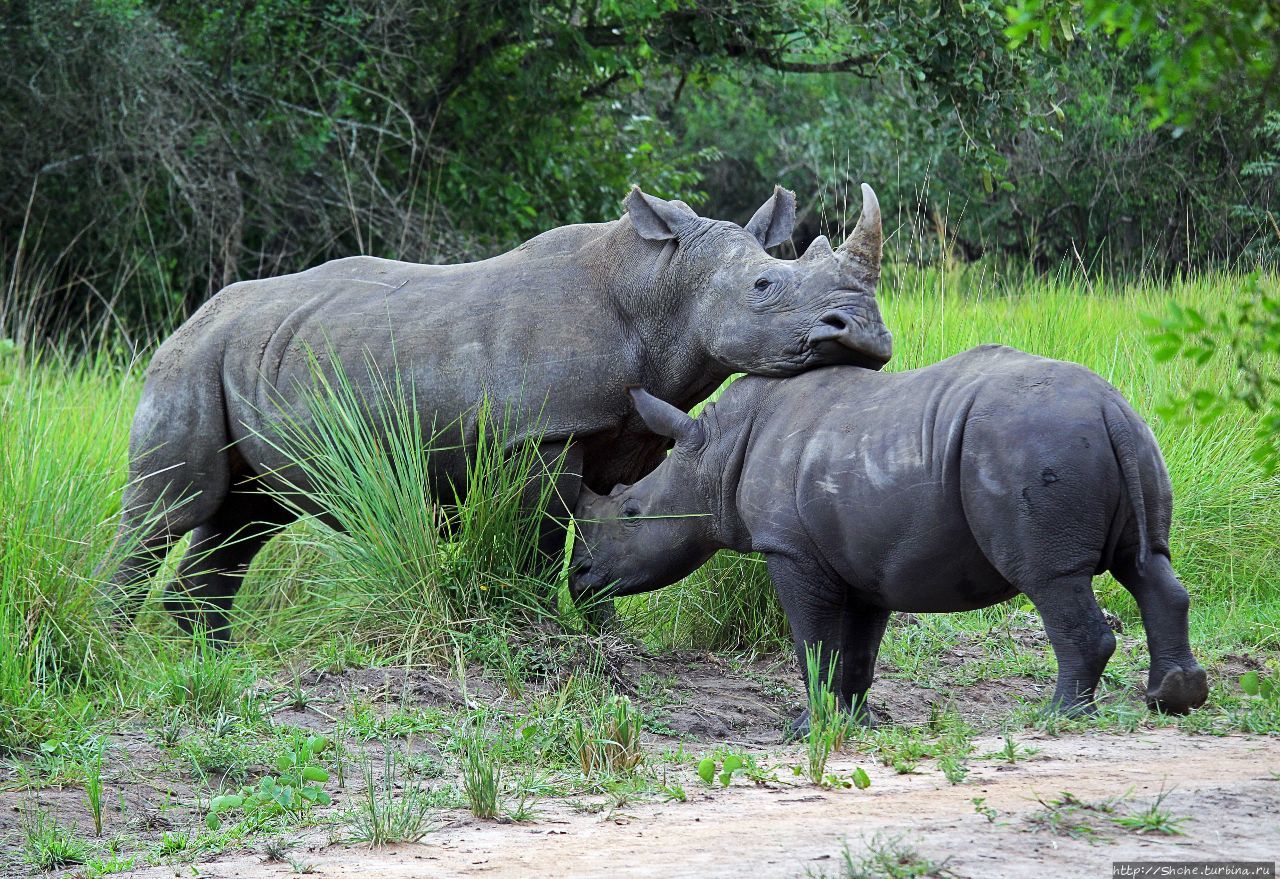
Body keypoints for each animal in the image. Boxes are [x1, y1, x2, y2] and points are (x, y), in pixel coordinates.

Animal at [104, 185, 896, 639]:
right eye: (765, 286)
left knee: (248, 515)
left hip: (255, 354)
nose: (863, 334)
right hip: (189, 360)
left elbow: (602, 526)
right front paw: (542, 627)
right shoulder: (541, 432)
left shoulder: (624, 430)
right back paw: (116, 647)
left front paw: (605, 631)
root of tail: (193, 318)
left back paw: (210, 655)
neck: (661, 287)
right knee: (170, 508)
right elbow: (539, 534)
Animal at [570, 345, 1208, 726]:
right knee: (1147, 563)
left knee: (1051, 577)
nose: (578, 578)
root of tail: (1109, 408)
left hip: (1032, 444)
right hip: (1130, 438)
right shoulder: (865, 556)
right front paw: (855, 722)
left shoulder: (791, 549)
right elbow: (856, 649)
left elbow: (812, 640)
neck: (712, 454)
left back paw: (1058, 717)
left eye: (631, 512)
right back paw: (1173, 699)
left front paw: (808, 727)